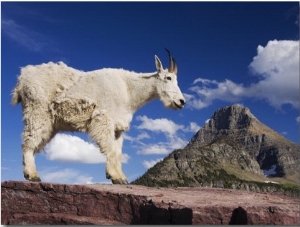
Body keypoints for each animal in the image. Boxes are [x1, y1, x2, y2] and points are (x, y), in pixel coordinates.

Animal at [11, 48, 185, 184]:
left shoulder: (118, 127)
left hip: (50, 123)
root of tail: (22, 78)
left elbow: (117, 152)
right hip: (37, 112)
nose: (181, 102)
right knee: (28, 142)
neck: (129, 90)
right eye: (168, 78)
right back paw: (32, 175)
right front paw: (116, 177)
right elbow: (109, 148)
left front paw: (119, 177)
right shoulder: (104, 120)